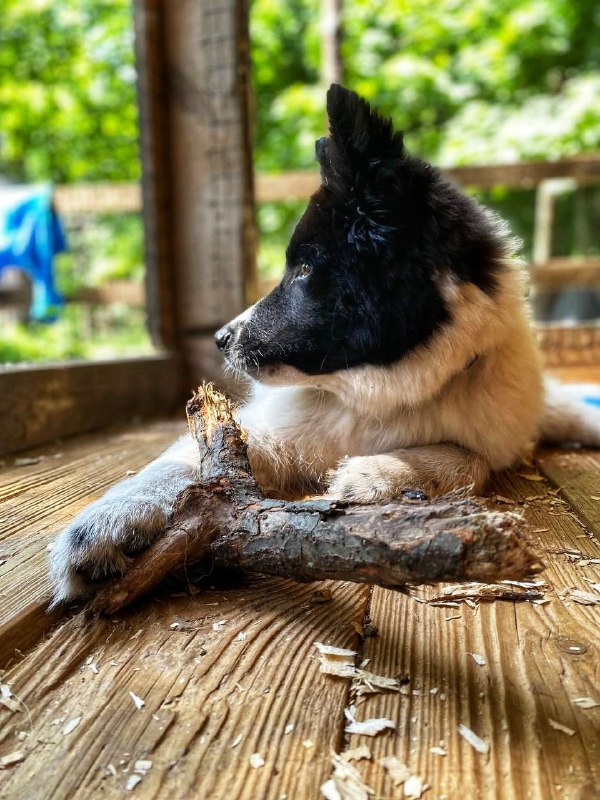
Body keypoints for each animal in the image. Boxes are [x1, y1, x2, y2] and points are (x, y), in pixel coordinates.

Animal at [49, 84, 600, 604]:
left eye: (305, 270)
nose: (221, 339)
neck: (374, 397)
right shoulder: (264, 433)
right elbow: (184, 463)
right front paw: (111, 520)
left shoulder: (491, 438)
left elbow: (470, 459)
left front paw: (382, 476)